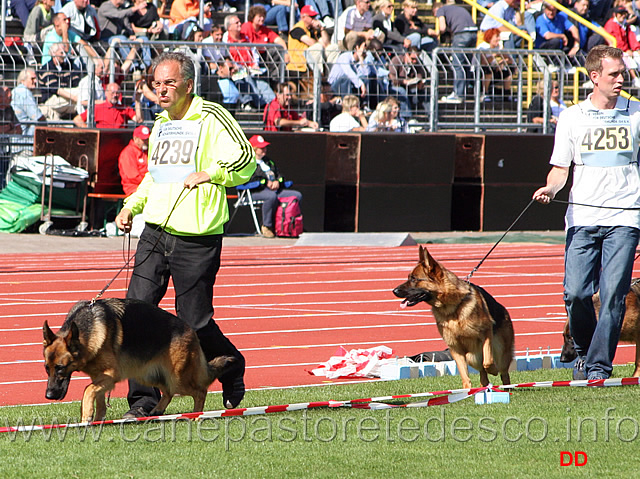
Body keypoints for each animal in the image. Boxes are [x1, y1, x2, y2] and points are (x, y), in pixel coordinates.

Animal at [43, 298, 232, 426]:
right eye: (47, 368)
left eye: (60, 368)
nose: (49, 396)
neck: (86, 333)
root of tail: (191, 330)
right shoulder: (99, 377)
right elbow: (99, 398)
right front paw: (97, 420)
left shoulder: (110, 375)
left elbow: (88, 390)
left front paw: (86, 416)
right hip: (148, 375)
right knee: (168, 392)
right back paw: (157, 411)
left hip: (177, 379)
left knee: (200, 391)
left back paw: (196, 415)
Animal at [390, 248, 516, 390]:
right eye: (409, 277)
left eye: (413, 279)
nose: (394, 291)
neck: (453, 309)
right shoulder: (455, 348)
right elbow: (465, 377)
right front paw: (466, 391)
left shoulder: (486, 333)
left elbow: (488, 361)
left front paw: (493, 370)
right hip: (472, 356)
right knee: (482, 374)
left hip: (500, 351)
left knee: (503, 373)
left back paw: (506, 387)